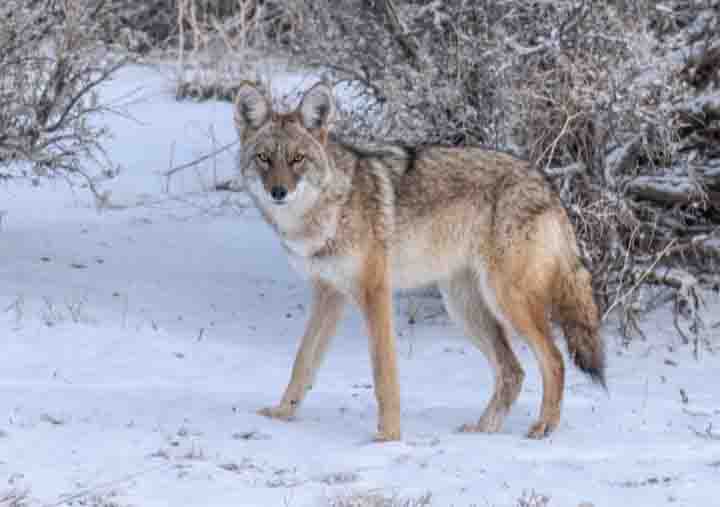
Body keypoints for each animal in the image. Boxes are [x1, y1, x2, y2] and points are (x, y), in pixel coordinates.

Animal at [234, 81, 606, 441]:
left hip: (506, 301)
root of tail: (548, 184)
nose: (278, 192)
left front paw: (388, 436)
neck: (328, 210)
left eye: (297, 159)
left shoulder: (375, 293)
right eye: (264, 158)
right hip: (464, 307)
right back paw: (482, 430)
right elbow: (303, 361)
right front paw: (282, 413)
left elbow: (383, 372)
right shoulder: (329, 294)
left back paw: (543, 427)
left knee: (554, 360)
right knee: (512, 371)